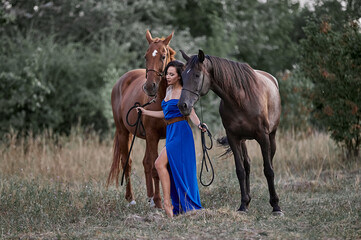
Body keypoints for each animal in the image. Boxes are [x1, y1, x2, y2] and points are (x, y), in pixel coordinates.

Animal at [106, 30, 175, 207]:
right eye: (146, 56)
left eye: (163, 56)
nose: (149, 87)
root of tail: (121, 81)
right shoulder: (152, 136)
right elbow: (155, 168)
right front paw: (159, 202)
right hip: (124, 133)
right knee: (127, 162)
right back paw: (131, 198)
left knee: (145, 162)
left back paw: (149, 197)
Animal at [177, 49, 282, 214]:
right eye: (182, 76)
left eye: (197, 75)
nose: (183, 105)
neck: (241, 99)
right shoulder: (233, 138)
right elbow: (240, 170)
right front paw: (243, 205)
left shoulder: (263, 137)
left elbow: (268, 170)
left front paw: (276, 206)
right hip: (243, 140)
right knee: (247, 165)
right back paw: (248, 200)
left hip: (272, 136)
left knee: (269, 162)